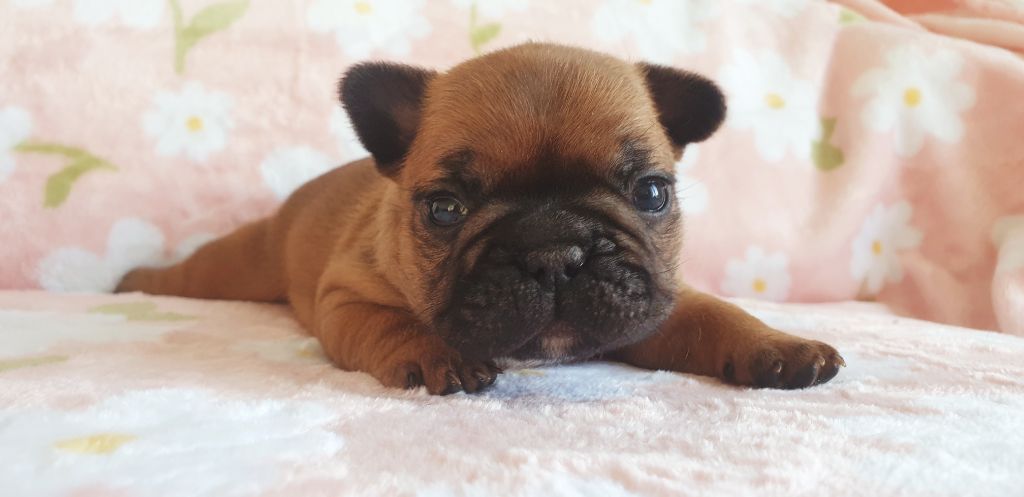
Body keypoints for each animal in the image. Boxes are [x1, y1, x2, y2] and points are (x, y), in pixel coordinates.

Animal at [117, 41, 847, 391]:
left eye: (650, 193)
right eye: (446, 209)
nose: (555, 251)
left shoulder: (654, 299)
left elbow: (715, 315)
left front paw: (777, 345)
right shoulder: (347, 297)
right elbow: (393, 324)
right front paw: (432, 353)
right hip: (241, 263)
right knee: (194, 272)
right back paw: (133, 282)